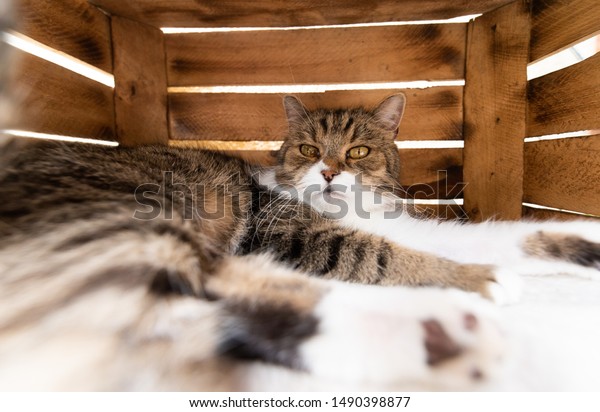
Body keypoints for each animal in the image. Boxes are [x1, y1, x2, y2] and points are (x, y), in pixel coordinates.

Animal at [1, 89, 600, 390]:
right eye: (311, 149)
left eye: (357, 151)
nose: (331, 171)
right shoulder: (291, 237)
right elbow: (385, 257)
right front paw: (480, 279)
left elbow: (491, 236)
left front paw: (581, 238)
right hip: (137, 222)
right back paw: (440, 334)